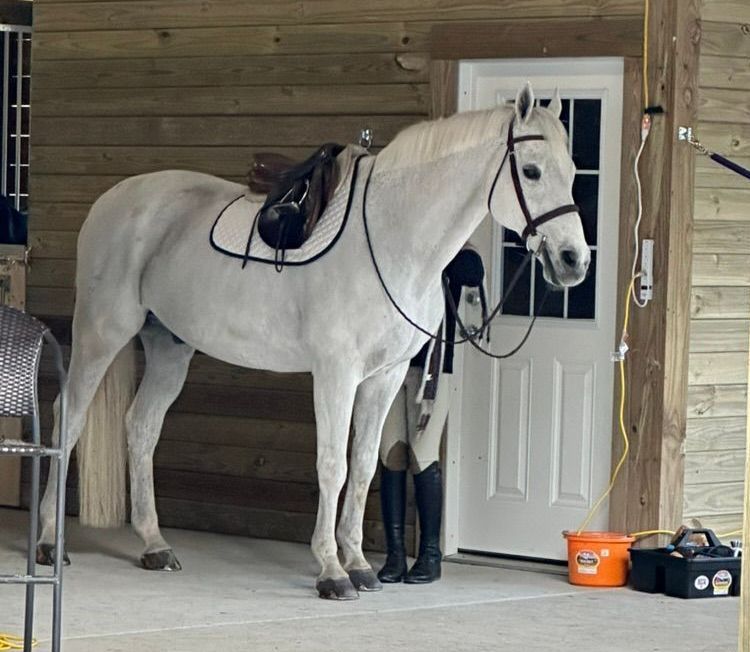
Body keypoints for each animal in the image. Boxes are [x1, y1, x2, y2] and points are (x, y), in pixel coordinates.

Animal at [38, 83, 592, 600]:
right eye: (532, 171)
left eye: (572, 170)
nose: (573, 261)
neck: (392, 241)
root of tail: (115, 199)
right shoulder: (336, 373)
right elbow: (332, 465)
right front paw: (331, 571)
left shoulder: (386, 376)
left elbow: (365, 466)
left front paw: (361, 565)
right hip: (102, 333)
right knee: (69, 419)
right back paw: (47, 542)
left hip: (169, 347)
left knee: (142, 427)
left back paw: (155, 546)